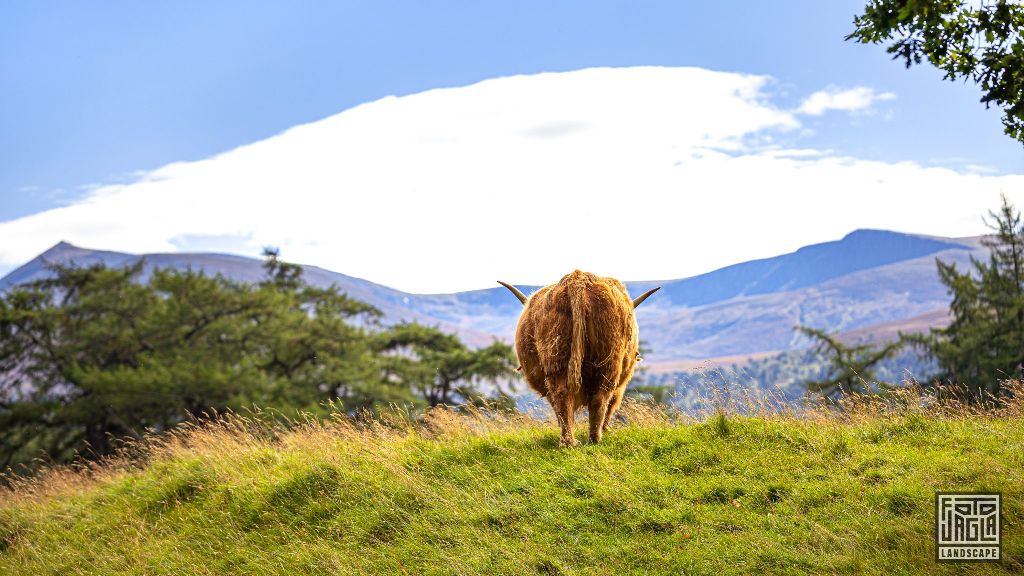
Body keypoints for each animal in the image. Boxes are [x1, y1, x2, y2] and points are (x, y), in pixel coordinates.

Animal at [499, 268, 659, 444]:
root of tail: (578, 280)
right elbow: (612, 403)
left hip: (566, 357)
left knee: (571, 395)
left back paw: (576, 440)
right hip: (604, 361)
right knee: (594, 397)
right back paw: (587, 439)